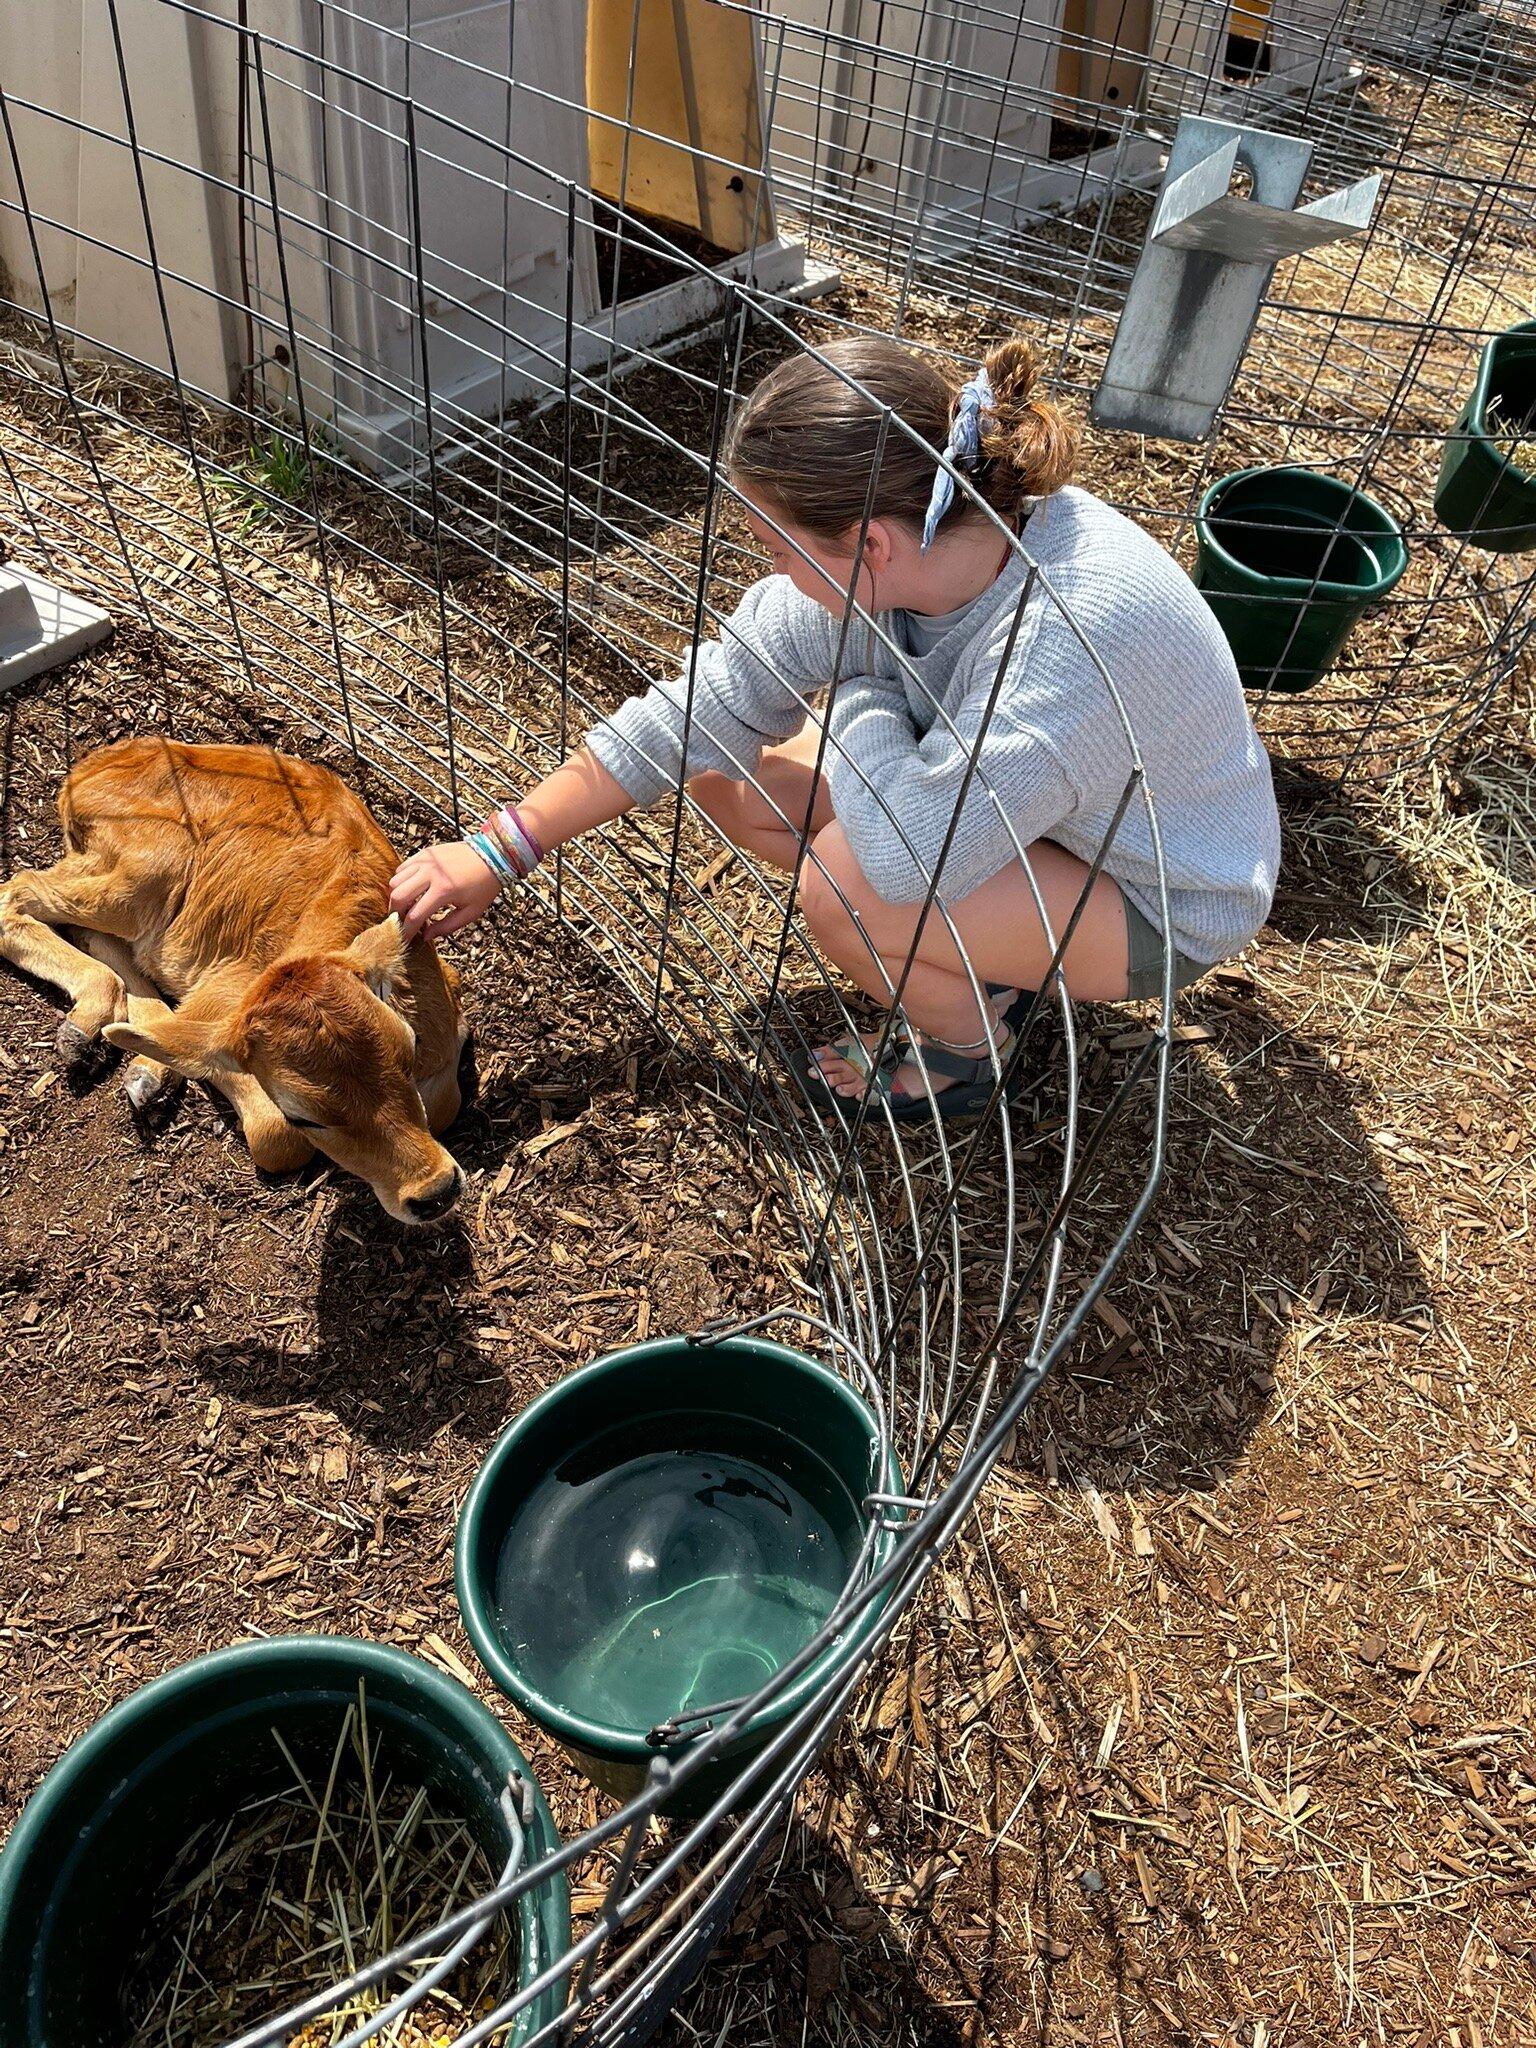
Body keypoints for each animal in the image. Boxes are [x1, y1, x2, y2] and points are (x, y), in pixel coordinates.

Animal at [0, 737, 468, 1212]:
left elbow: (445, 1105)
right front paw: (155, 1066)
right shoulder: (227, 988)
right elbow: (271, 1128)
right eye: (304, 1116)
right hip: (142, 877)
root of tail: (98, 762)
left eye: (409, 1049)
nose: (435, 1191)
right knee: (18, 892)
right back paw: (97, 1031)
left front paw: (149, 1066)